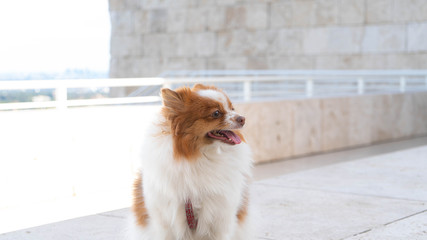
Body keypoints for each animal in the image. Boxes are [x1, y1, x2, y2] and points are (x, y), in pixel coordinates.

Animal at [132, 84, 254, 240]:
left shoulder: (220, 216)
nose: (242, 118)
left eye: (232, 108)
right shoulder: (166, 220)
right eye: (216, 113)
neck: (200, 156)